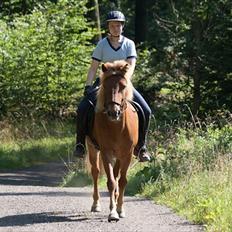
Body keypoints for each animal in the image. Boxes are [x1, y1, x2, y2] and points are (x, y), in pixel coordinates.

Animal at [86, 59, 139, 221]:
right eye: (106, 86)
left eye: (123, 86)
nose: (113, 112)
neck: (116, 127)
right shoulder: (106, 152)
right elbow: (110, 182)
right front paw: (113, 213)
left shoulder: (127, 154)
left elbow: (122, 181)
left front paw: (120, 209)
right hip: (92, 147)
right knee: (95, 172)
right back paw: (95, 204)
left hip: (120, 155)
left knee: (116, 175)